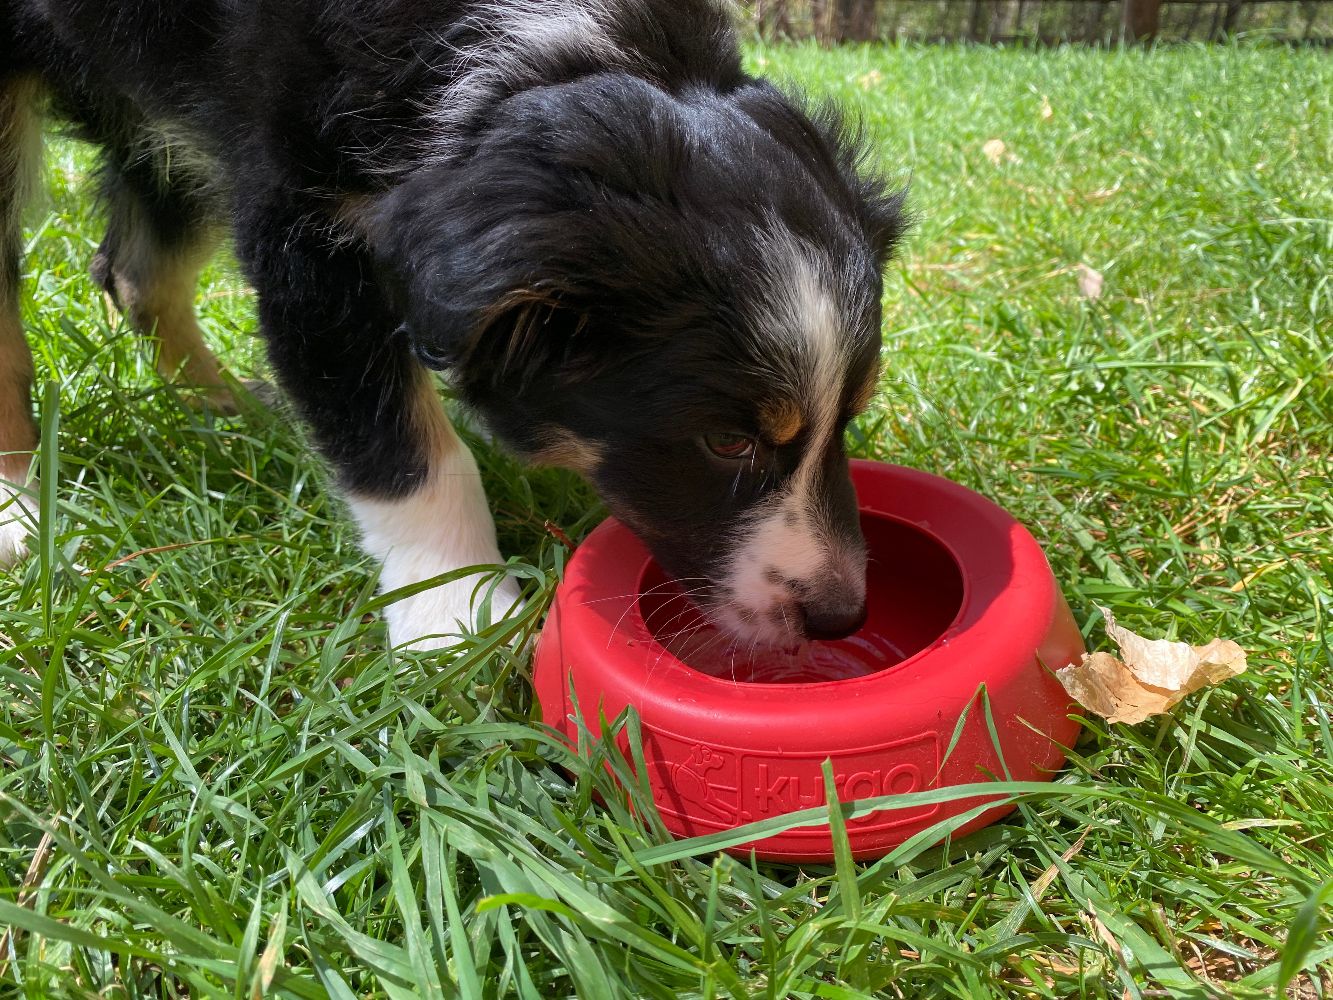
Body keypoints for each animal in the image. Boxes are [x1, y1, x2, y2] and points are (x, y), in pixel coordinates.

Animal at [0, 0, 906, 653]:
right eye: (725, 440)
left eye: (849, 417)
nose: (840, 618)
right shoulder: (303, 231)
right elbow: (403, 445)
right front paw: (457, 612)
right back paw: (18, 518)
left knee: (136, 271)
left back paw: (231, 408)